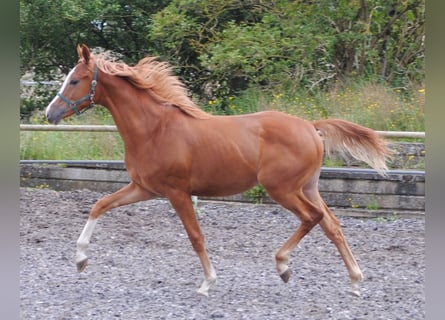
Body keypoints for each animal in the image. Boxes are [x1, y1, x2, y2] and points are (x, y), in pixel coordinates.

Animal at [46, 43, 390, 296]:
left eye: (74, 80)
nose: (50, 114)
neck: (154, 129)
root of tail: (310, 126)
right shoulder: (143, 188)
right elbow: (99, 205)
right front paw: (80, 260)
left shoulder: (177, 192)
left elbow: (196, 236)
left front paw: (207, 282)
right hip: (307, 187)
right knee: (332, 225)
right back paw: (355, 282)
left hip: (282, 189)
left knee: (313, 217)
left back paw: (284, 266)